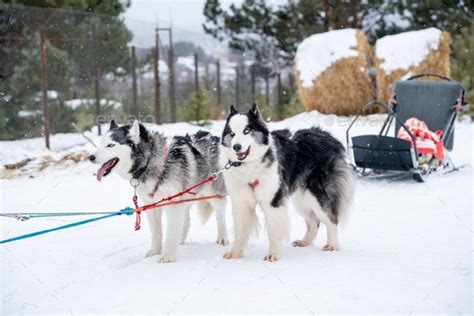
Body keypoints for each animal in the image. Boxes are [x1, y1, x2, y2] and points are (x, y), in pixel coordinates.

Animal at [90, 119, 230, 262]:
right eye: (100, 144)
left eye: (110, 145)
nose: (90, 157)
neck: (151, 162)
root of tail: (213, 137)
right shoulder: (152, 205)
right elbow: (156, 232)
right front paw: (155, 250)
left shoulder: (173, 204)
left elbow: (170, 232)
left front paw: (168, 255)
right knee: (185, 221)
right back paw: (180, 240)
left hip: (214, 194)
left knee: (220, 216)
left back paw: (222, 238)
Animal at [220, 104, 354, 262]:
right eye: (232, 133)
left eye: (247, 130)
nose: (236, 146)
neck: (250, 166)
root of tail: (328, 136)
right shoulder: (241, 203)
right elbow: (240, 231)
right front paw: (235, 253)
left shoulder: (273, 201)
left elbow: (273, 231)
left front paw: (273, 254)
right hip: (302, 198)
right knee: (314, 222)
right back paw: (305, 242)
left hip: (316, 195)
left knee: (332, 219)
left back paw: (332, 245)